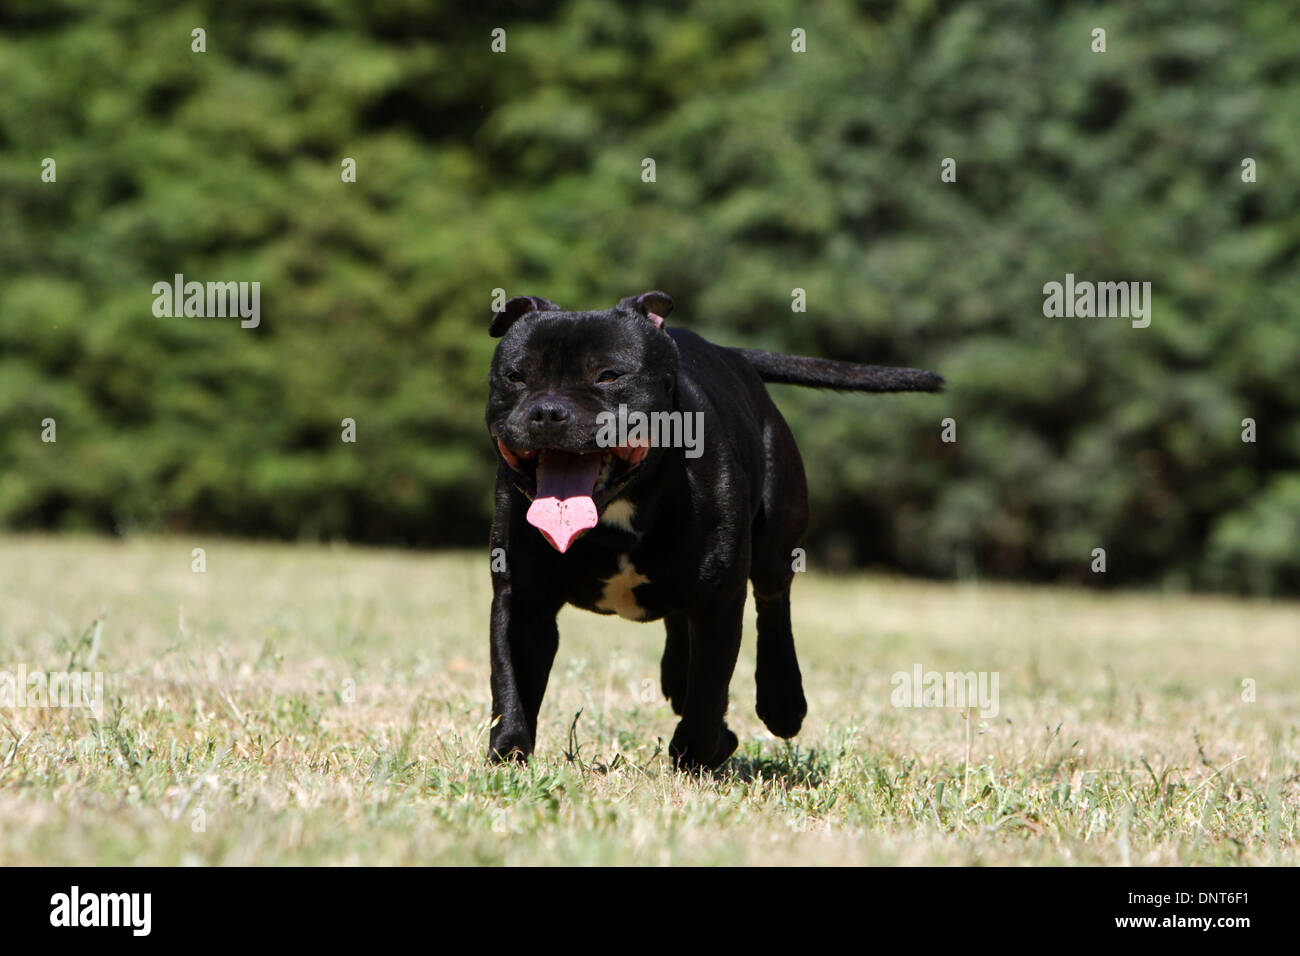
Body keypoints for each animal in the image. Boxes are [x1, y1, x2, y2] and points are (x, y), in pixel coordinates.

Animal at [483, 291, 941, 770]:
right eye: (516, 376)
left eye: (608, 375)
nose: (546, 411)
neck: (617, 512)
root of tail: (731, 354)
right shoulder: (524, 601)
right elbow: (512, 682)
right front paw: (509, 750)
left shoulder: (718, 601)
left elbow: (709, 690)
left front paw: (703, 751)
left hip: (777, 537)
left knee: (774, 603)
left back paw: (782, 700)